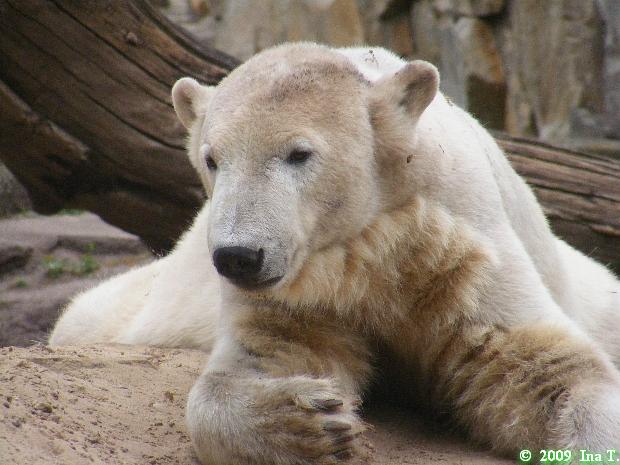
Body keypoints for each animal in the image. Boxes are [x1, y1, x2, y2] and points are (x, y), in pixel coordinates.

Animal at [49, 43, 620, 464]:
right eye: (212, 159)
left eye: (299, 154)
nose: (238, 256)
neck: (372, 241)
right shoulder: (300, 287)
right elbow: (271, 354)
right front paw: (309, 419)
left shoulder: (459, 243)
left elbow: (537, 365)